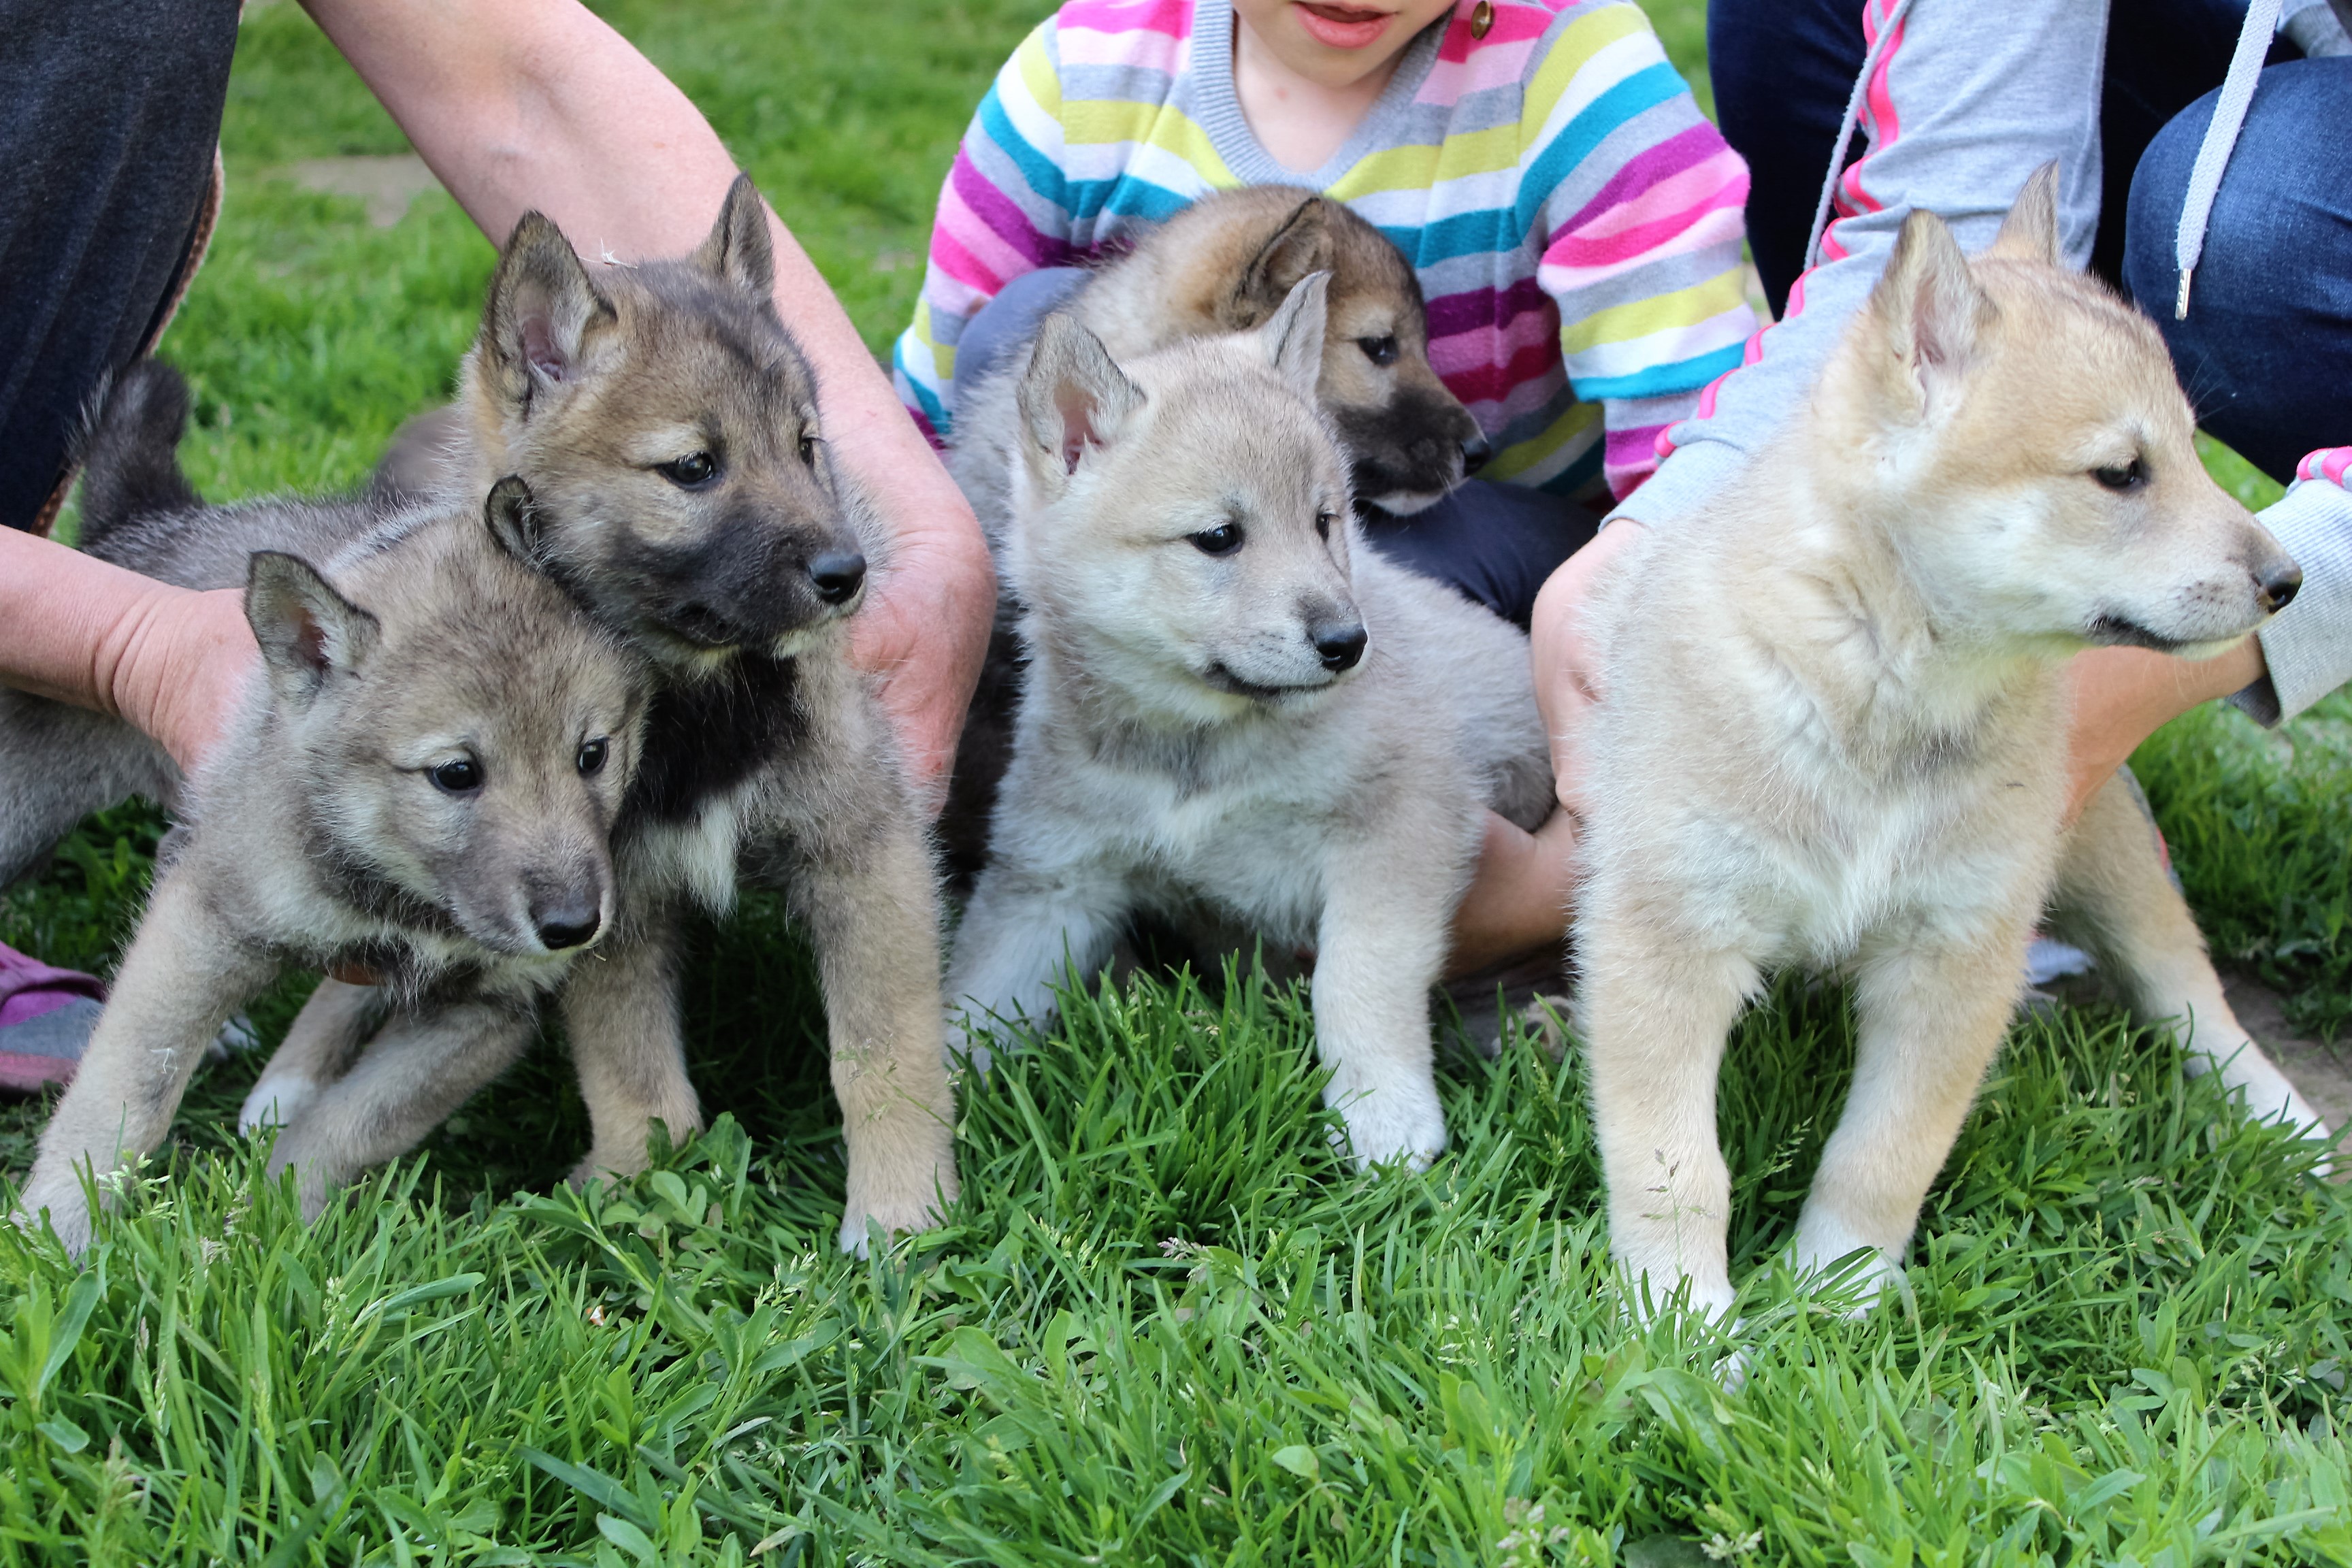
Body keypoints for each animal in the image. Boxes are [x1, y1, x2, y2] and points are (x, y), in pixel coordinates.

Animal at [11, 365, 648, 1256]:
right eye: (456, 774)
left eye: (593, 755)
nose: (572, 927)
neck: (397, 891)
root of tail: (137, 523)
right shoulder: (207, 916)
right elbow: (126, 1088)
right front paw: (56, 1238)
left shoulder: (485, 1011)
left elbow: (349, 1126)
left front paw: (265, 1225)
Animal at [945, 274, 1552, 1168]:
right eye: (1219, 537)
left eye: (1325, 521)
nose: (1347, 643)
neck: (1199, 749)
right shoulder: (1049, 880)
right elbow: (972, 1001)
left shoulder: (1399, 829)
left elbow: (1357, 977)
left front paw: (1381, 1113)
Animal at [1572, 166, 2326, 1327]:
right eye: (2122, 473)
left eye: (2198, 451)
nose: (2288, 580)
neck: (1885, 688)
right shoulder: (1665, 943)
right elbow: (1675, 1165)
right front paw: (1683, 1320)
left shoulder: (1957, 953)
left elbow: (1884, 1155)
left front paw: (1835, 1296)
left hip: (2108, 859)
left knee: (2192, 994)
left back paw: (2290, 1126)